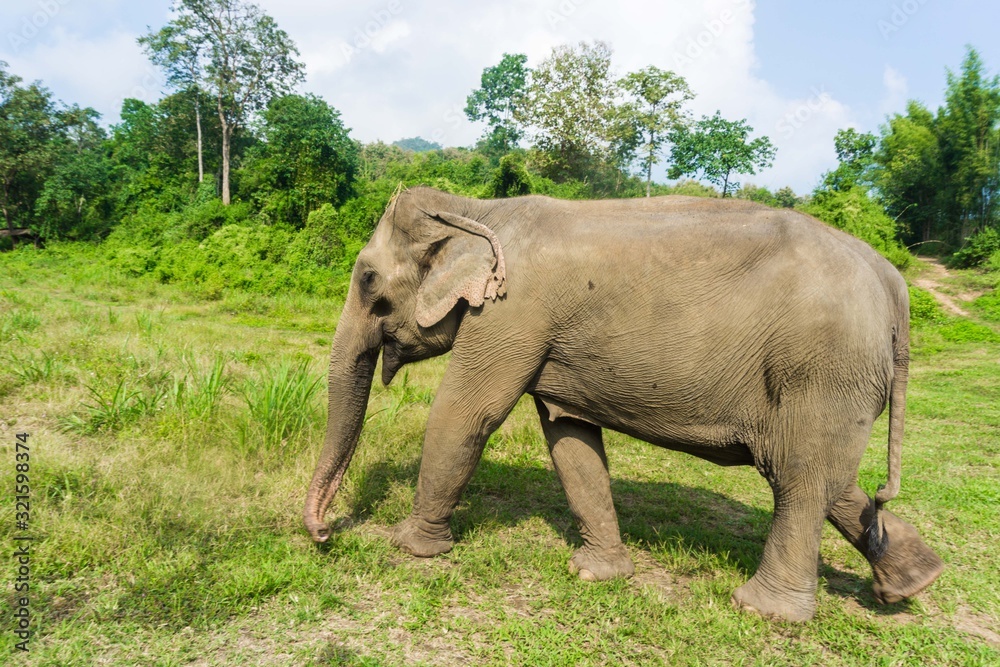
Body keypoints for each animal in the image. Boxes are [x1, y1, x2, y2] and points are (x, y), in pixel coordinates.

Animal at [303, 186, 944, 622]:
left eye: (368, 280)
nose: (326, 534)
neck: (479, 208)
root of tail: (893, 282)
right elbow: (569, 436)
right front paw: (597, 575)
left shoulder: (511, 311)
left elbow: (466, 414)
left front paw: (410, 547)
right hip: (841, 381)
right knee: (826, 478)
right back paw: (911, 584)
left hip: (823, 371)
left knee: (798, 478)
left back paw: (763, 611)